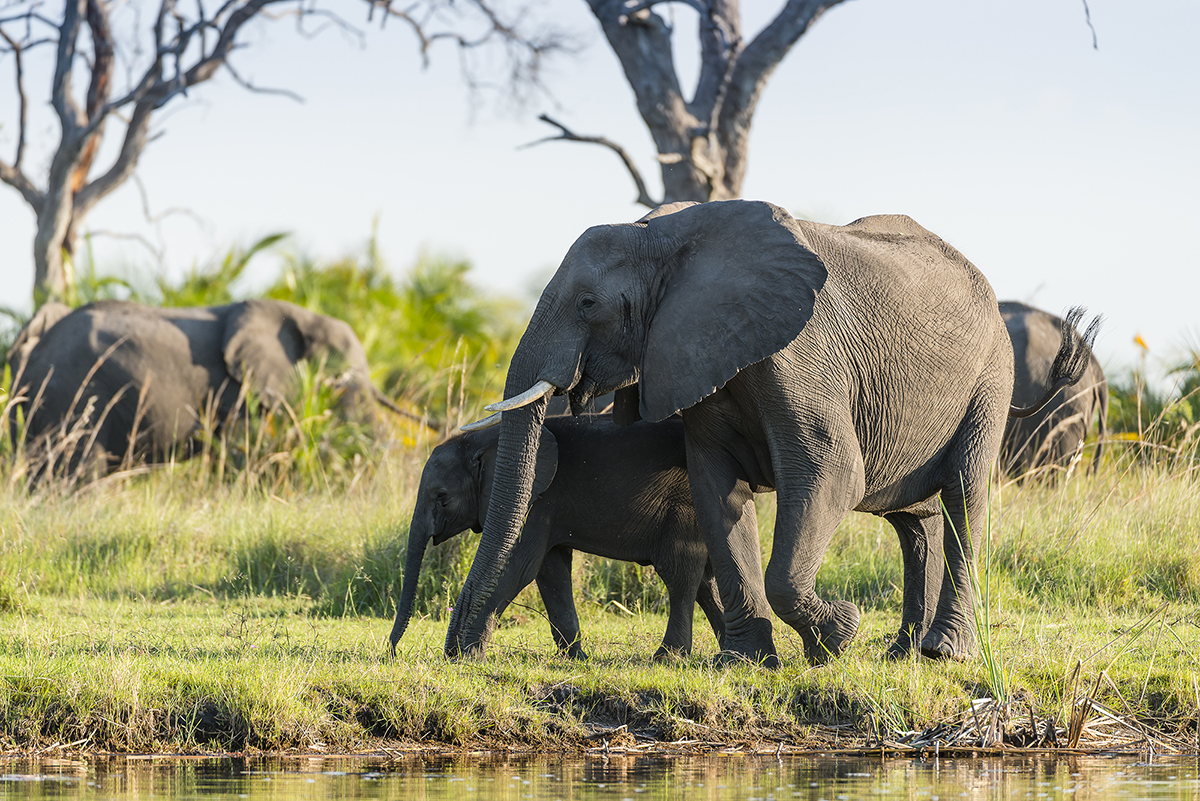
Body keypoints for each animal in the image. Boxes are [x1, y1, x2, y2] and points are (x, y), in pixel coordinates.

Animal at [388, 417, 720, 661]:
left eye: (442, 497)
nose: (391, 652)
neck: (484, 439)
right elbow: (551, 572)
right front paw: (576, 659)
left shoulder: (538, 502)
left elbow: (520, 567)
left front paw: (467, 657)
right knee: (705, 582)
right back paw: (728, 656)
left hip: (685, 508)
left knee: (679, 574)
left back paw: (668, 658)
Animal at [446, 199, 1094, 661]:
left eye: (586, 303)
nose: (459, 653)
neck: (666, 236)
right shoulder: (700, 354)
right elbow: (716, 489)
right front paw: (746, 662)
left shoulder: (799, 352)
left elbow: (832, 472)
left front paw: (840, 634)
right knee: (914, 516)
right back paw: (902, 651)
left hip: (991, 375)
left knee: (963, 492)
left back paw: (941, 654)